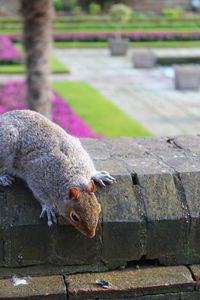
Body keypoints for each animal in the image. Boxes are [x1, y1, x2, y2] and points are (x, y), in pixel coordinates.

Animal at [0, 110, 115, 239]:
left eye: (99, 208)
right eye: (74, 217)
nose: (91, 234)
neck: (74, 176)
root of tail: (3, 117)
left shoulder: (82, 156)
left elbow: (92, 169)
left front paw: (98, 175)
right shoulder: (36, 177)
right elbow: (40, 195)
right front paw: (48, 208)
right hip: (6, 144)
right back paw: (3, 177)